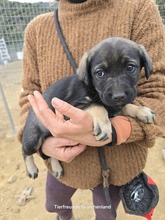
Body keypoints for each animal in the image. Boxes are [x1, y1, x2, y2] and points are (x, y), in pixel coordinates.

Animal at [21, 37, 155, 179]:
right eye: (100, 73)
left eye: (130, 68)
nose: (118, 96)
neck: (94, 88)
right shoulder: (74, 106)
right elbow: (97, 106)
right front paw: (103, 125)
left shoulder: (113, 105)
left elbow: (126, 105)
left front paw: (142, 111)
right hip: (32, 140)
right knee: (25, 151)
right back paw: (31, 169)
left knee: (52, 155)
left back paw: (57, 168)